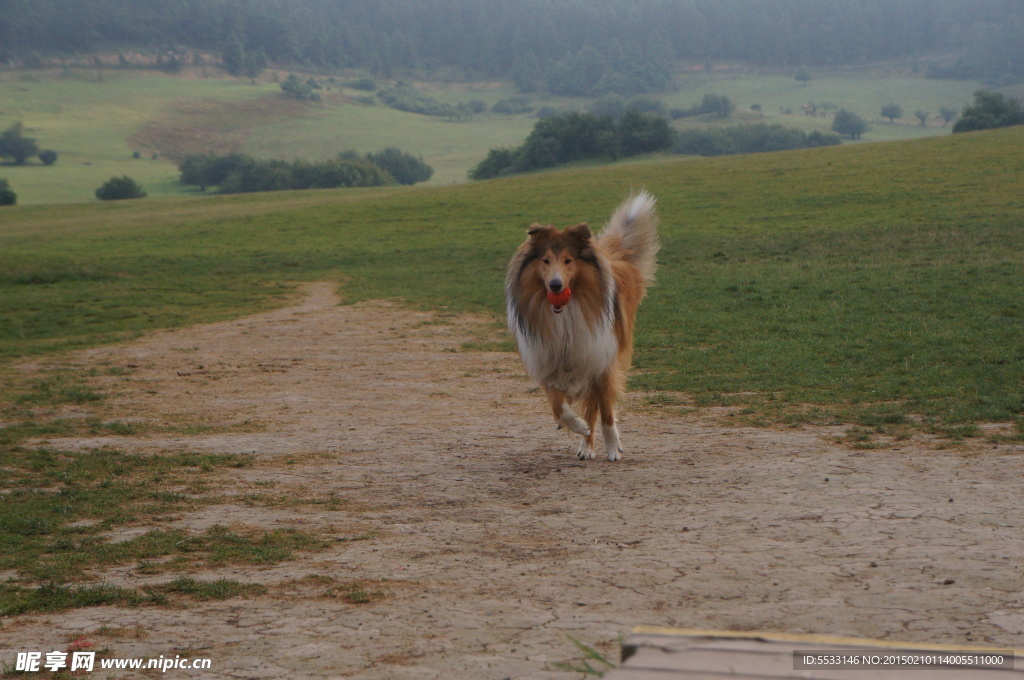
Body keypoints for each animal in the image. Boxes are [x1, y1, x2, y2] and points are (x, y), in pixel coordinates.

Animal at [503, 188, 655, 458]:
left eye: (568, 260)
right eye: (545, 260)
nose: (555, 286)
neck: (565, 313)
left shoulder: (601, 361)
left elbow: (606, 413)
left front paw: (613, 449)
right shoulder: (549, 362)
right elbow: (558, 407)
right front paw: (577, 426)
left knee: (596, 407)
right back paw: (585, 443)